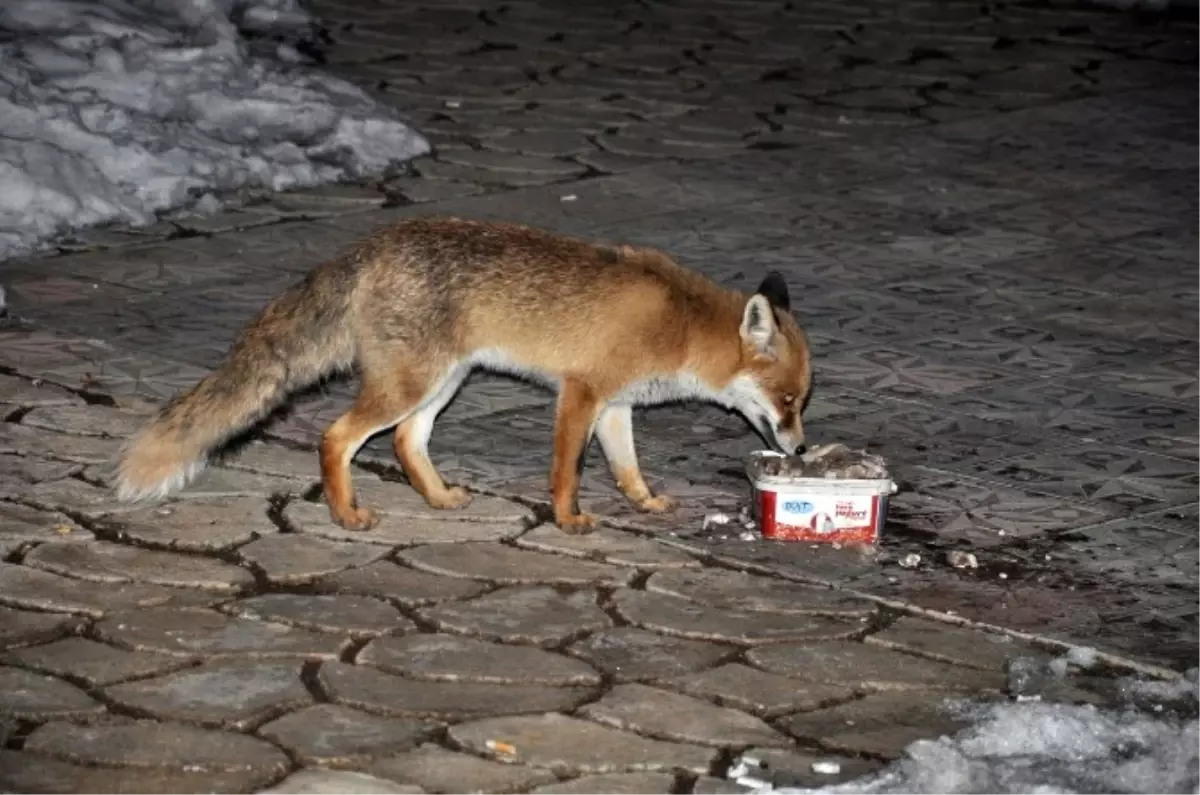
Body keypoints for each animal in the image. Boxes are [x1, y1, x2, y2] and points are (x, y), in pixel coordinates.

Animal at [114, 216, 816, 535]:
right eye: (787, 401)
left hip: (442, 382)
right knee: (337, 438)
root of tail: (372, 244)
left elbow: (628, 469)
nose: (802, 449)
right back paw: (347, 514)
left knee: (405, 441)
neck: (682, 323)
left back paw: (437, 498)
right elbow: (568, 471)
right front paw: (567, 520)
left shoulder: (617, 407)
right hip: (412, 384)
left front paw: (645, 503)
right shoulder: (581, 394)